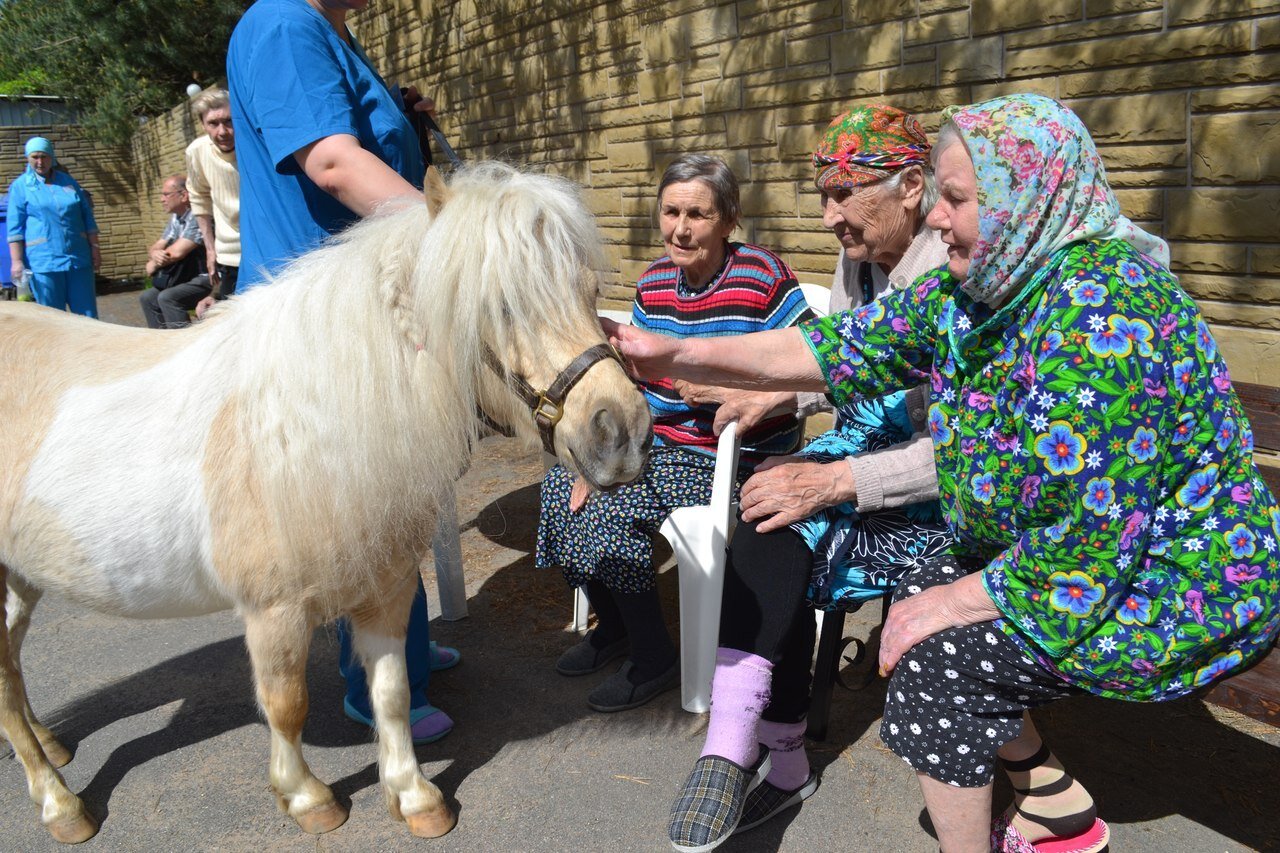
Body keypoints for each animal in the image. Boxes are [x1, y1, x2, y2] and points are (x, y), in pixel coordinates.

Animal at [0, 162, 655, 840]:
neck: (306, 429)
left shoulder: (386, 588)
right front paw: (307, 798)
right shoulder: (274, 613)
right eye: (496, 306)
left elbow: (391, 692)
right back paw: (59, 802)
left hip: (20, 579)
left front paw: (413, 795)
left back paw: (50, 748)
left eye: (588, 291)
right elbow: (286, 706)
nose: (622, 435)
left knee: (11, 670)